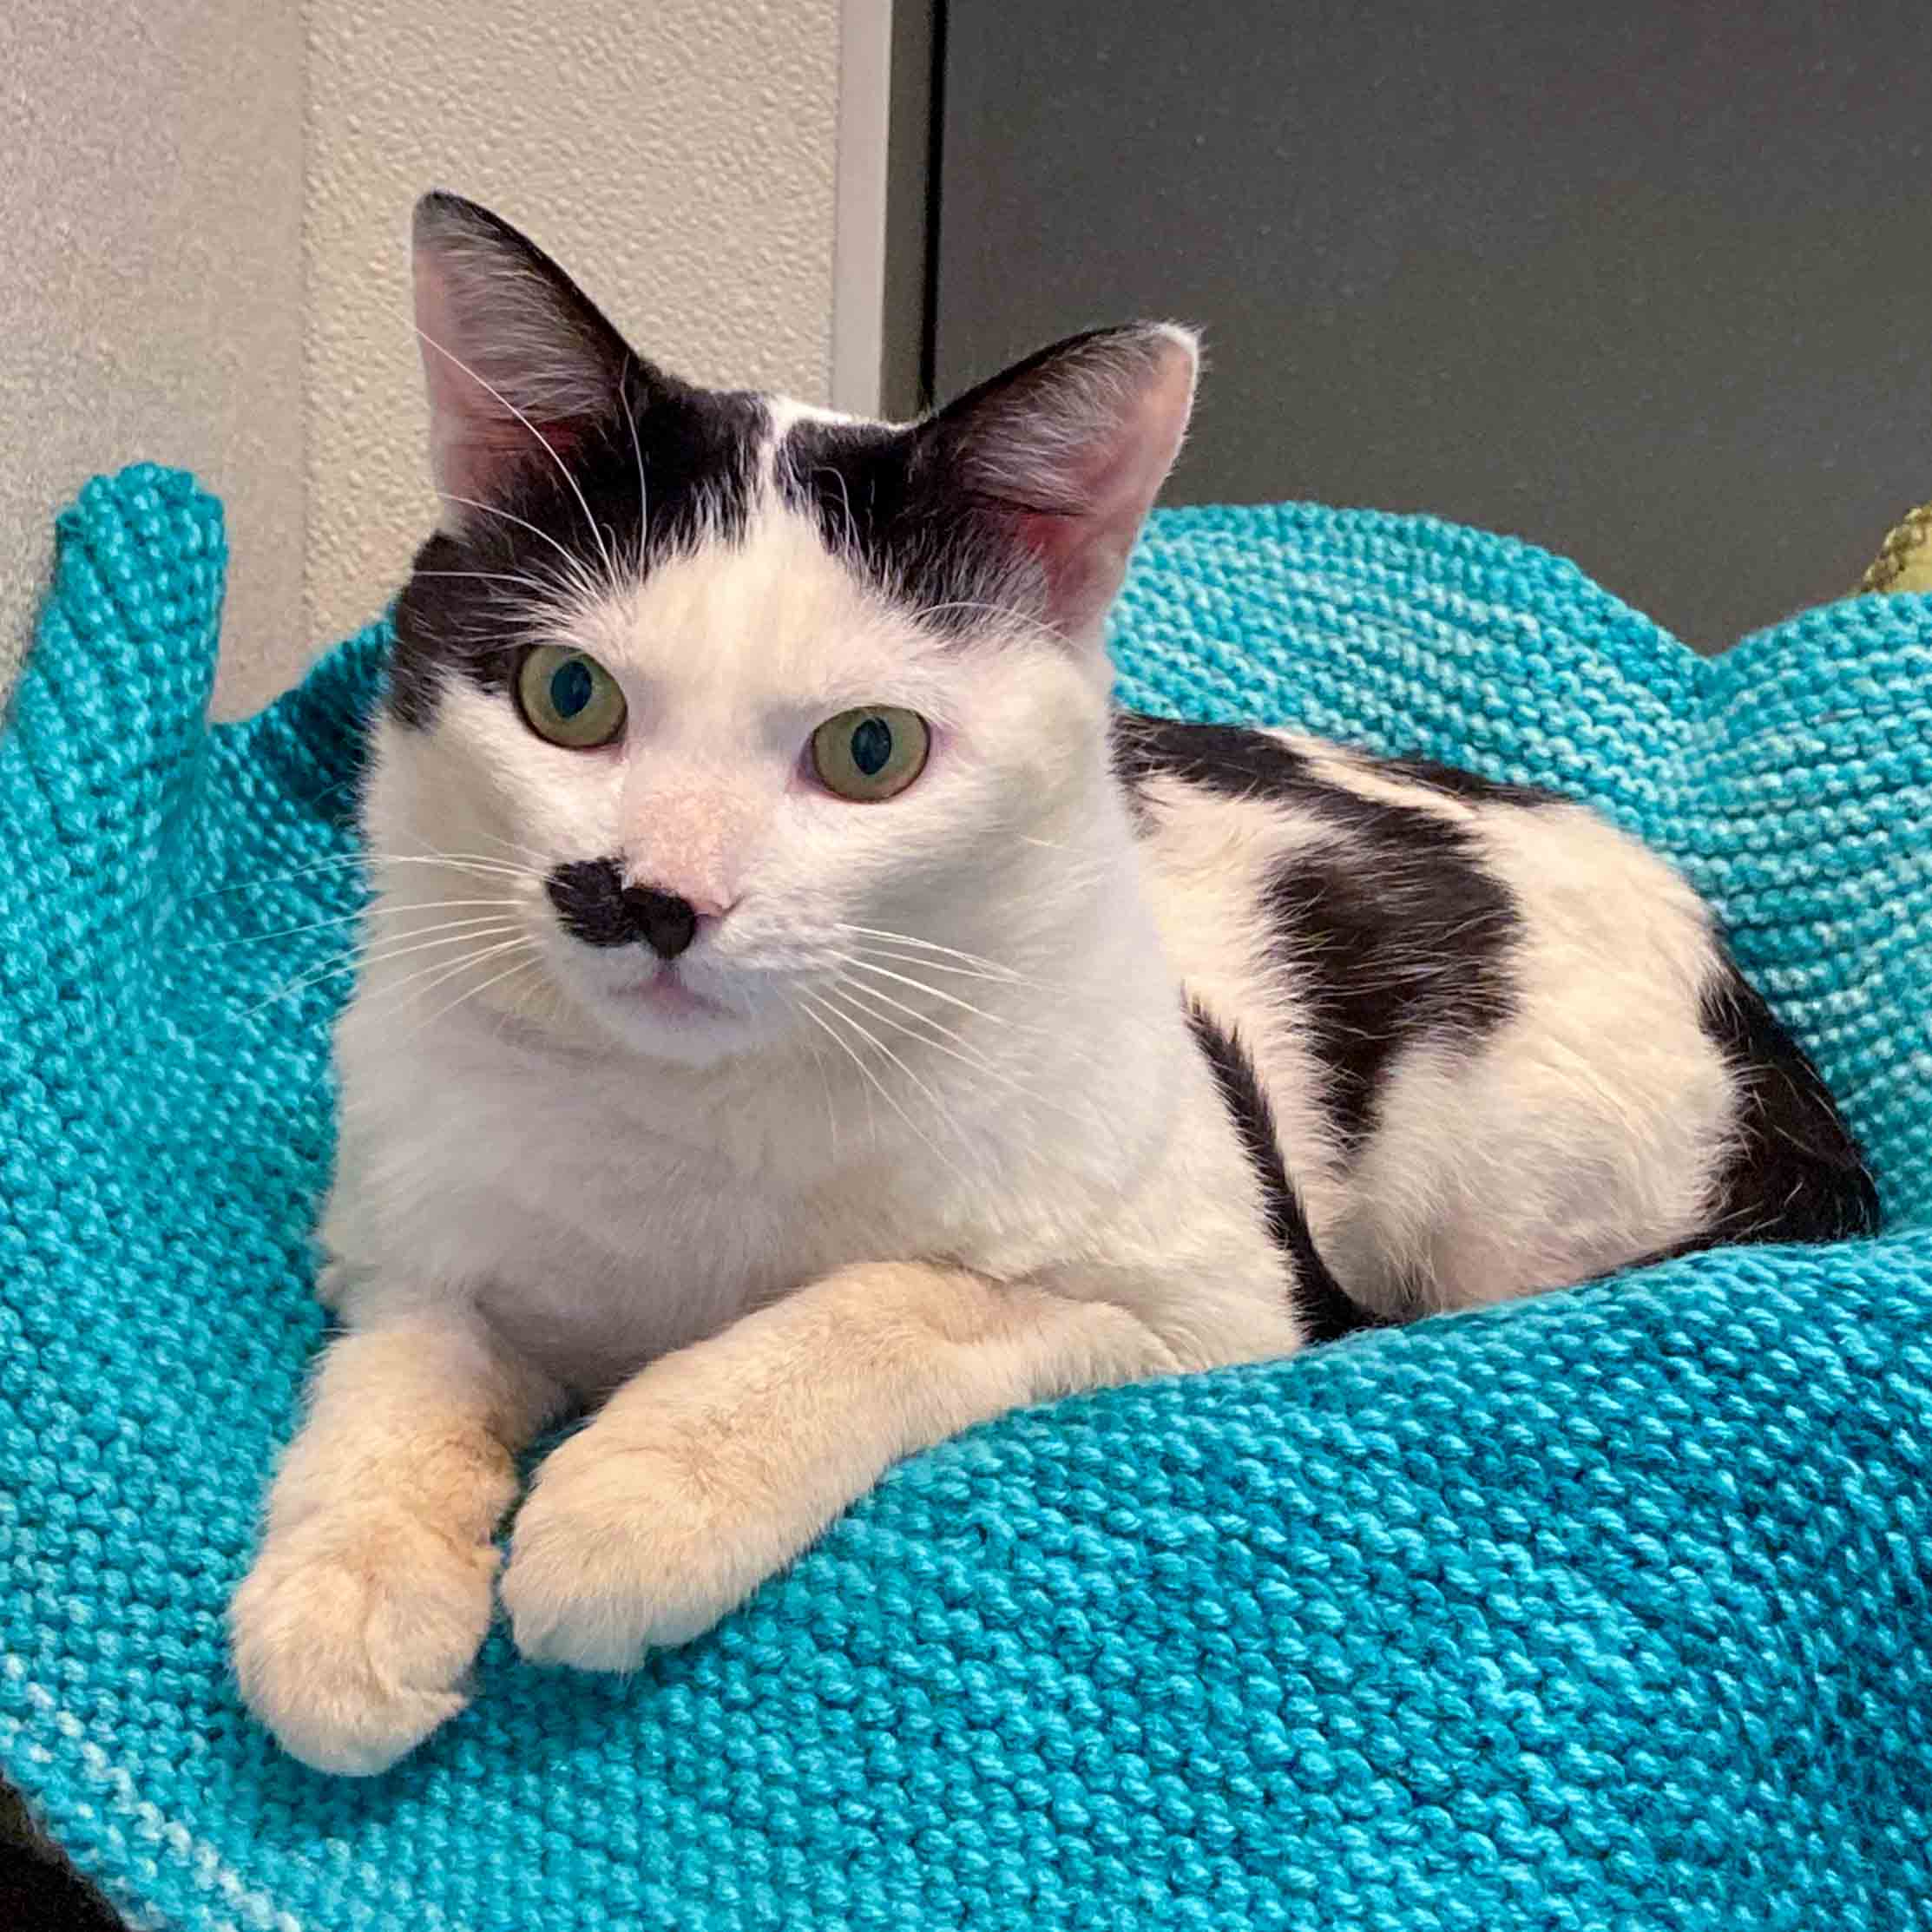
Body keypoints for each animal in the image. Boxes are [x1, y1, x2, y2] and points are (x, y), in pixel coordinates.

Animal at [226, 188, 1870, 1770]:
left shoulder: (1216, 1299)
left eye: (869, 750)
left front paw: (644, 1484)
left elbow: (905, 1299)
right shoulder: (401, 1244)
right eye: (567, 696)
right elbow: (397, 1369)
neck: (699, 1119)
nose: (653, 899)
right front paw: (344, 1591)